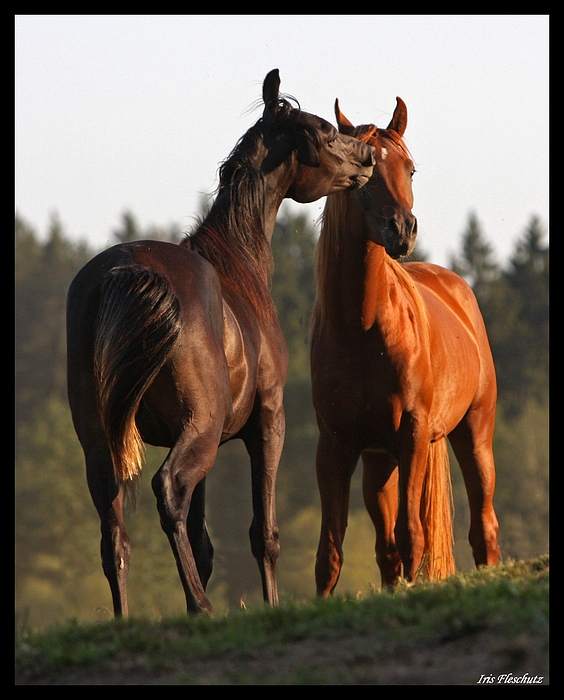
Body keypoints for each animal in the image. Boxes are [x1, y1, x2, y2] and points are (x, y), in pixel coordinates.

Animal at [66, 71, 374, 616]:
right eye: (324, 131)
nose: (367, 157)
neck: (236, 264)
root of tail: (126, 270)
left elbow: (203, 540)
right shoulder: (268, 422)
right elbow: (263, 534)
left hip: (105, 441)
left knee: (115, 530)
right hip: (202, 431)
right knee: (167, 491)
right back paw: (203, 605)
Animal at [310, 95, 500, 592]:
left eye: (411, 170)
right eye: (363, 168)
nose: (403, 229)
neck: (362, 329)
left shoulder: (413, 434)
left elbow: (413, 535)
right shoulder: (335, 445)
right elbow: (331, 552)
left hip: (474, 436)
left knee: (482, 528)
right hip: (380, 463)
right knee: (386, 548)